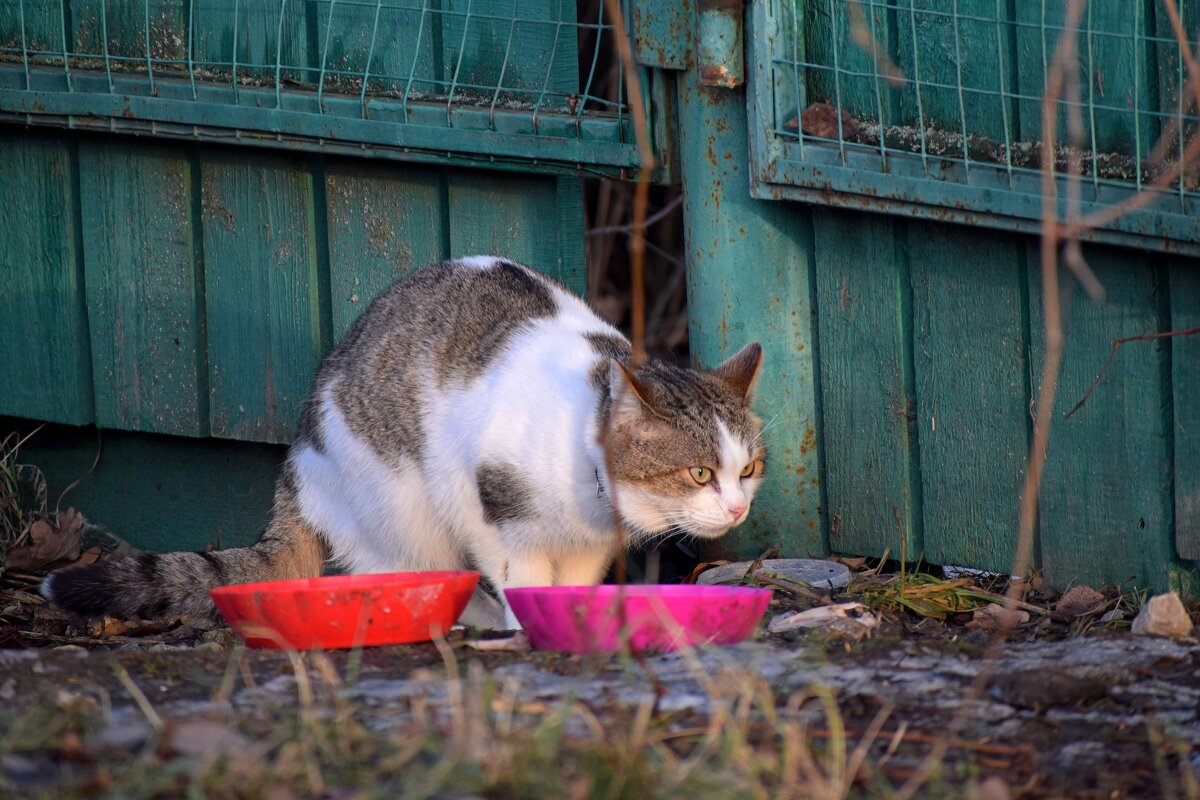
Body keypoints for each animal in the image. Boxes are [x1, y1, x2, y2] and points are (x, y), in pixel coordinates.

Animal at [44, 257, 768, 633]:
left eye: (749, 469)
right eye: (699, 473)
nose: (738, 509)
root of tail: (295, 467)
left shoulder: (588, 548)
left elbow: (572, 583)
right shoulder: (490, 507)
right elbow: (522, 577)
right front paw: (522, 622)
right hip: (402, 505)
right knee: (399, 572)